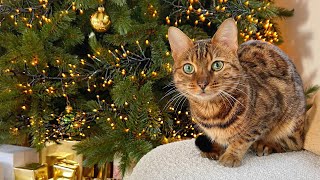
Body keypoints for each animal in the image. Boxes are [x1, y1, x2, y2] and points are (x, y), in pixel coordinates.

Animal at [168, 18, 304, 167]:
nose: (202, 83)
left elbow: (243, 137)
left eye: (217, 65)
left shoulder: (272, 108)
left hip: (291, 124)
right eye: (188, 68)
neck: (210, 112)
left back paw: (266, 145)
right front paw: (215, 149)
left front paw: (231, 155)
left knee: (292, 143)